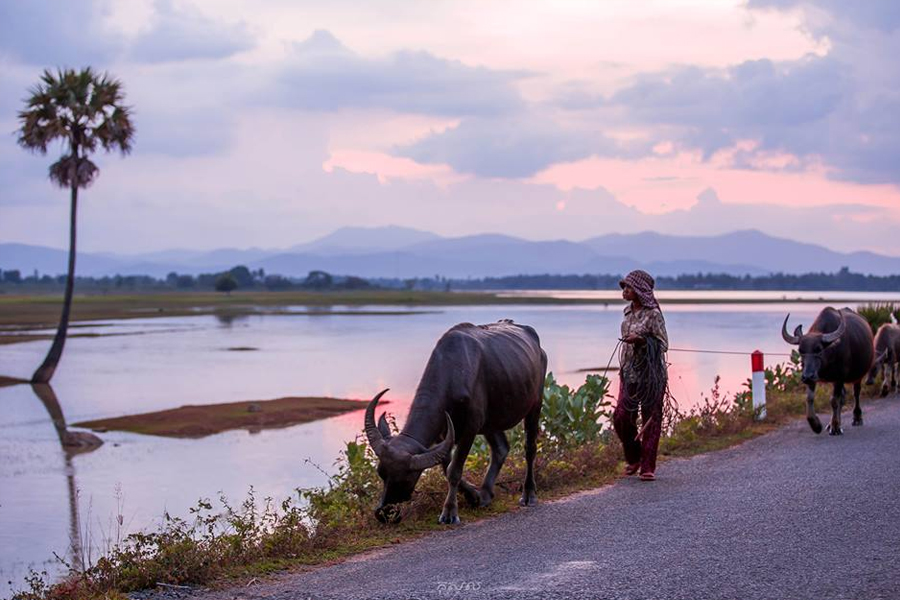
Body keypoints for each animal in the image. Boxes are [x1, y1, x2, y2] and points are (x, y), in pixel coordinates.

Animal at [362, 322, 544, 524]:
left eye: (406, 479)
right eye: (381, 472)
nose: (384, 513)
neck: (453, 375)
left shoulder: (470, 429)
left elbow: (454, 470)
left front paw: (449, 512)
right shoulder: (443, 435)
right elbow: (445, 466)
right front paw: (474, 496)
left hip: (535, 404)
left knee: (530, 448)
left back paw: (528, 494)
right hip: (490, 422)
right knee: (501, 448)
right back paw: (485, 494)